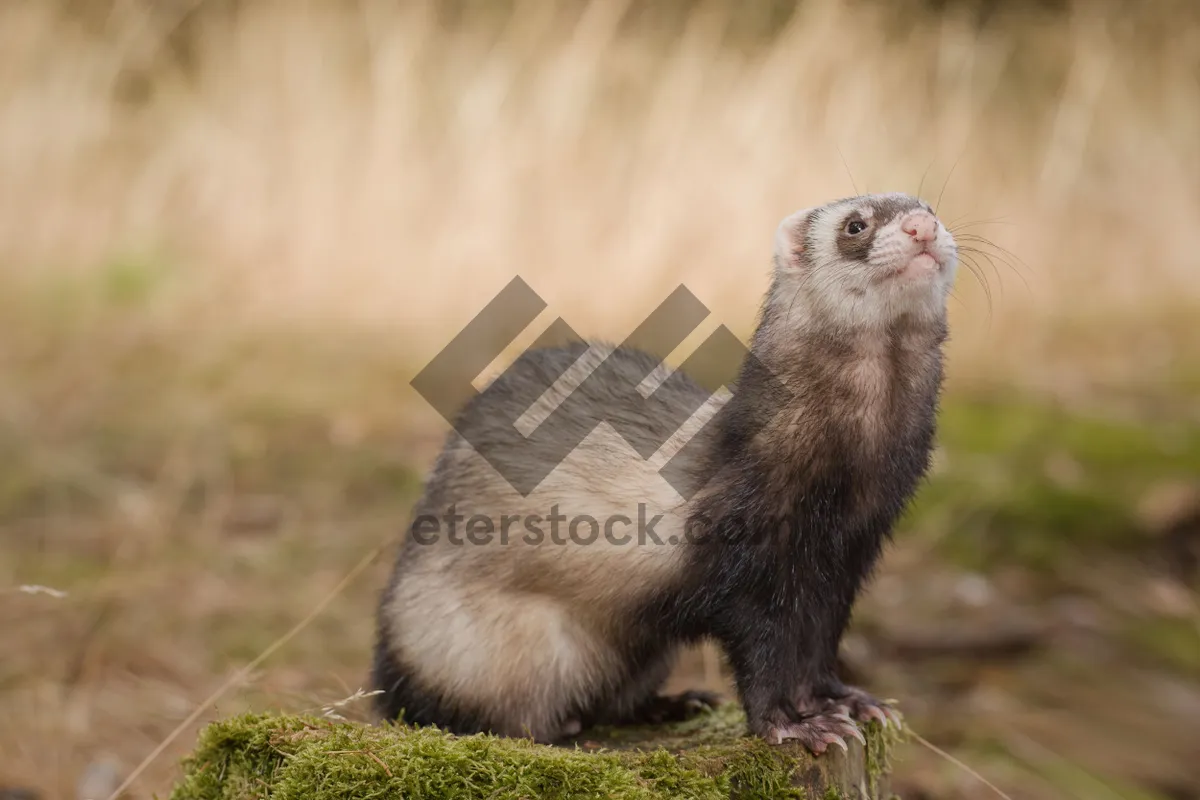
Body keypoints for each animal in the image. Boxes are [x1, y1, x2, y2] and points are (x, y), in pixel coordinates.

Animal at [369, 190, 960, 753]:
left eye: (930, 205)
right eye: (855, 225)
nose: (921, 226)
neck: (853, 474)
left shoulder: (849, 559)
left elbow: (816, 650)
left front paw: (846, 702)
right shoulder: (747, 561)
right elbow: (762, 653)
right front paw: (793, 725)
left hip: (642, 649)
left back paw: (673, 704)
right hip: (502, 644)